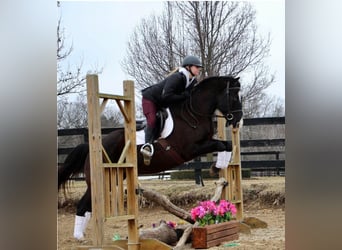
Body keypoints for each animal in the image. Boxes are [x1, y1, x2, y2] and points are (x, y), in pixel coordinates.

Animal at [57, 75, 242, 239]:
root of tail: (91, 146)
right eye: (233, 97)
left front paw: (218, 167)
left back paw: (81, 234)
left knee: (88, 205)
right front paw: (215, 167)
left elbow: (226, 145)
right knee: (84, 204)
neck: (193, 114)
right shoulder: (191, 149)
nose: (239, 122)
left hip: (115, 177)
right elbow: (221, 145)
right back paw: (79, 236)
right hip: (101, 178)